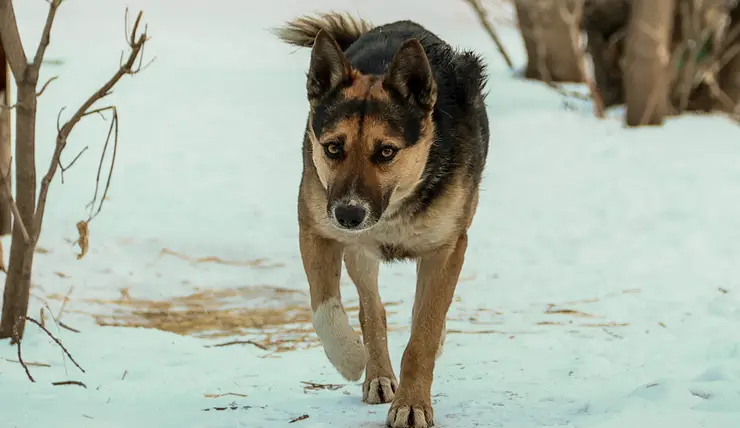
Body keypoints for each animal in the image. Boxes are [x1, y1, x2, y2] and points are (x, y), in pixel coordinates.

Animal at [272, 13, 492, 428]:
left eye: (387, 152)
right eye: (333, 148)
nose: (348, 214)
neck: (396, 207)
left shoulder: (446, 248)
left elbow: (424, 333)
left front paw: (412, 404)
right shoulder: (316, 229)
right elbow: (325, 310)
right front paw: (350, 359)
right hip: (358, 253)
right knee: (371, 309)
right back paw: (375, 372)